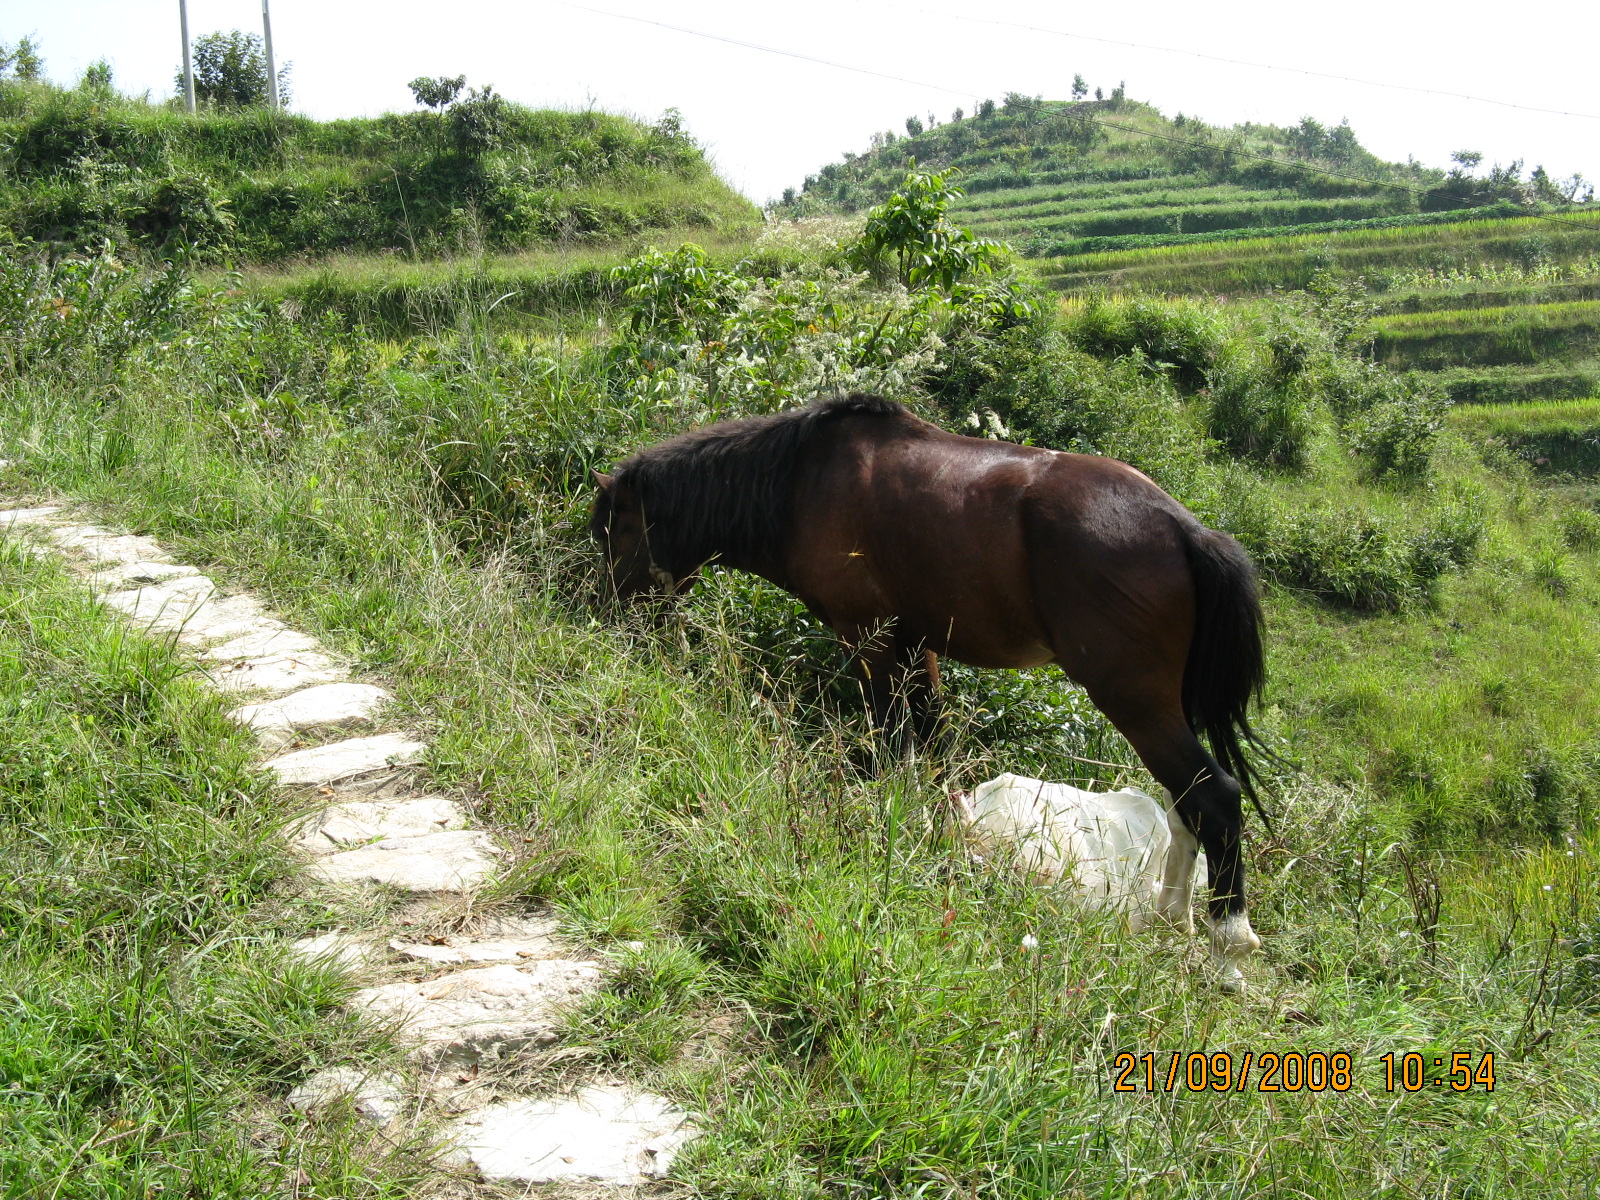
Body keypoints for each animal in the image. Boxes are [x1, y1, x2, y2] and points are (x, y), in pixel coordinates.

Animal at [595, 396, 1267, 998]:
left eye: (619, 530)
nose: (613, 617)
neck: (800, 484)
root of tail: (1185, 529)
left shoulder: (868, 638)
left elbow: (896, 745)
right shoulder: (920, 646)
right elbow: (934, 751)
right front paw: (945, 837)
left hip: (1133, 701)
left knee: (1214, 796)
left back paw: (1227, 947)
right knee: (1184, 802)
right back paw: (1170, 916)